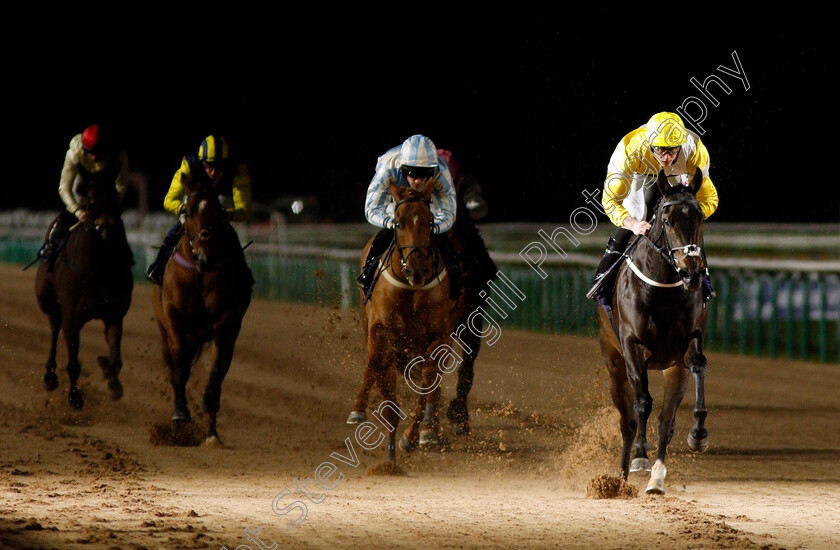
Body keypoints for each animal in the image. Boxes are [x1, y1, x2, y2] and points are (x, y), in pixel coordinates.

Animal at [34, 171, 133, 410]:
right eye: (90, 196)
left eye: (114, 194)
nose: (105, 226)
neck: (96, 268)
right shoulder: (71, 317)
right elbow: (73, 362)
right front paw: (75, 397)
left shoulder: (114, 314)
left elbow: (115, 358)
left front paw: (112, 381)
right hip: (46, 298)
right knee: (54, 326)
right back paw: (49, 376)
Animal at [151, 183, 251, 446]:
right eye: (188, 211)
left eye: (219, 213)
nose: (205, 253)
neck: (200, 272)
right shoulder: (173, 317)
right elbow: (179, 369)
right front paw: (180, 414)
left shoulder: (227, 319)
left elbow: (216, 371)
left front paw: (208, 401)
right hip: (165, 333)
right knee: (174, 368)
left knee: (219, 371)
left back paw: (212, 434)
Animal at [596, 168, 708, 496]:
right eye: (667, 220)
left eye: (700, 217)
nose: (692, 273)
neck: (663, 290)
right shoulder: (632, 345)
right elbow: (642, 403)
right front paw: (639, 458)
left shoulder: (688, 343)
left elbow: (698, 365)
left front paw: (698, 434)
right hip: (614, 363)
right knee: (628, 421)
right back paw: (620, 478)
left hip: (673, 370)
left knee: (665, 421)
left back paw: (657, 479)